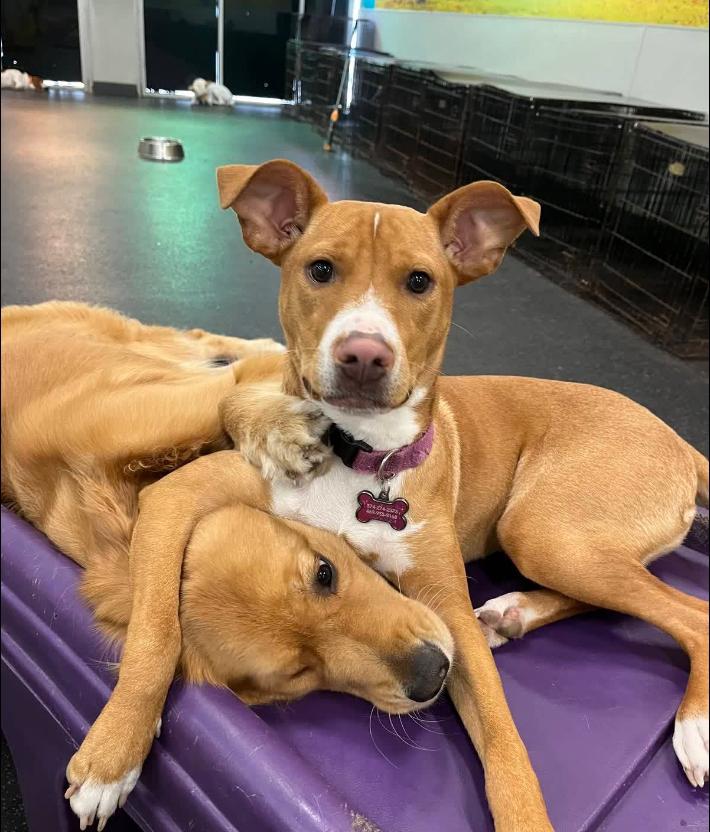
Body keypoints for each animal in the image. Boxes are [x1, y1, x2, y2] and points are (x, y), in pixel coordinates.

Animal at [1, 301, 453, 829]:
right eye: (300, 673)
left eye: (325, 573)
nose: (433, 675)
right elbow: (155, 632)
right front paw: (118, 745)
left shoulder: (193, 396)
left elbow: (231, 394)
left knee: (200, 337)